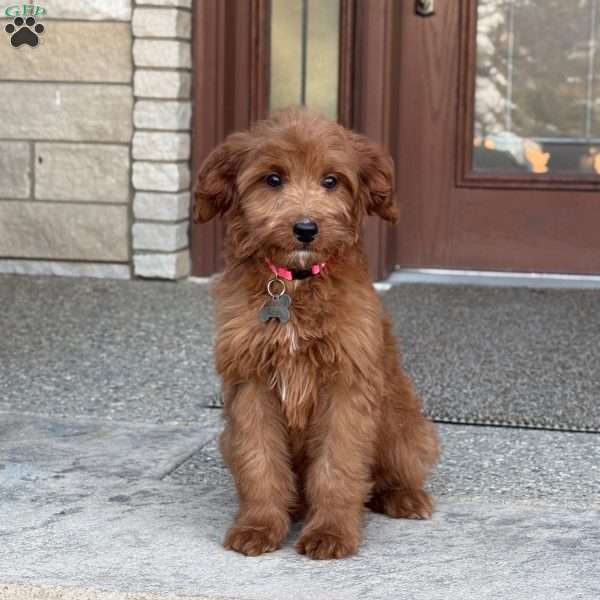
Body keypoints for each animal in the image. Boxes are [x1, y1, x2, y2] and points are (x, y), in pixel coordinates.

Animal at [195, 110, 438, 560]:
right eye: (273, 179)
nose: (306, 228)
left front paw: (331, 532)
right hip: (226, 439)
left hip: (404, 425)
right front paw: (259, 525)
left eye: (331, 180)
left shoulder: (346, 382)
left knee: (391, 473)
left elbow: (338, 465)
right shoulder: (251, 382)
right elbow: (259, 460)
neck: (293, 284)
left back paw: (403, 496)